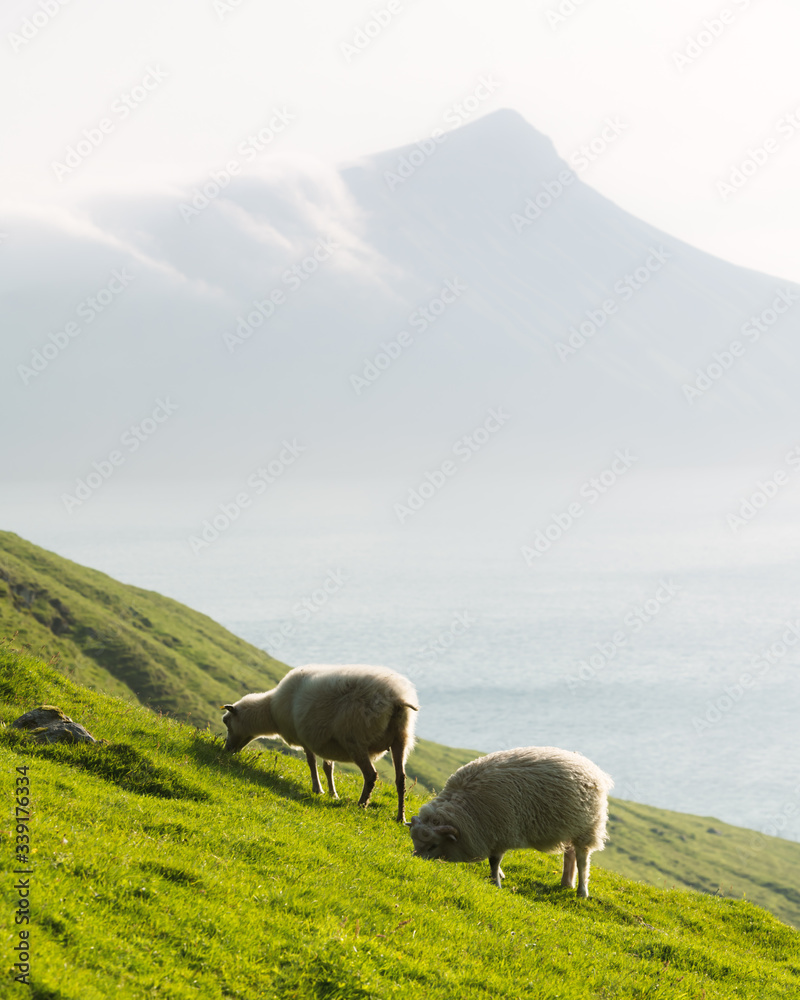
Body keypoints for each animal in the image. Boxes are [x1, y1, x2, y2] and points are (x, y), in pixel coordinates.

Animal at [220, 664, 418, 820]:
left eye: (226, 721)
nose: (227, 749)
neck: (271, 712)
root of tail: (397, 699)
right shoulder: (325, 742)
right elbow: (328, 767)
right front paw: (332, 793)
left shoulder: (306, 739)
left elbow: (311, 763)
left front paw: (318, 789)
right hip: (400, 738)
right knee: (401, 778)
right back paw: (400, 817)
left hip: (355, 739)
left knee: (371, 775)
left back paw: (361, 805)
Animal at [410, 744, 616, 900]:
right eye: (414, 841)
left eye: (433, 845)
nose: (415, 861)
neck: (465, 805)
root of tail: (593, 768)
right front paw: (499, 876)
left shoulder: (500, 832)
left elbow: (494, 861)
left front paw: (496, 882)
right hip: (571, 826)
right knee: (570, 854)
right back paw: (566, 883)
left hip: (587, 827)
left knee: (582, 860)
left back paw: (582, 891)